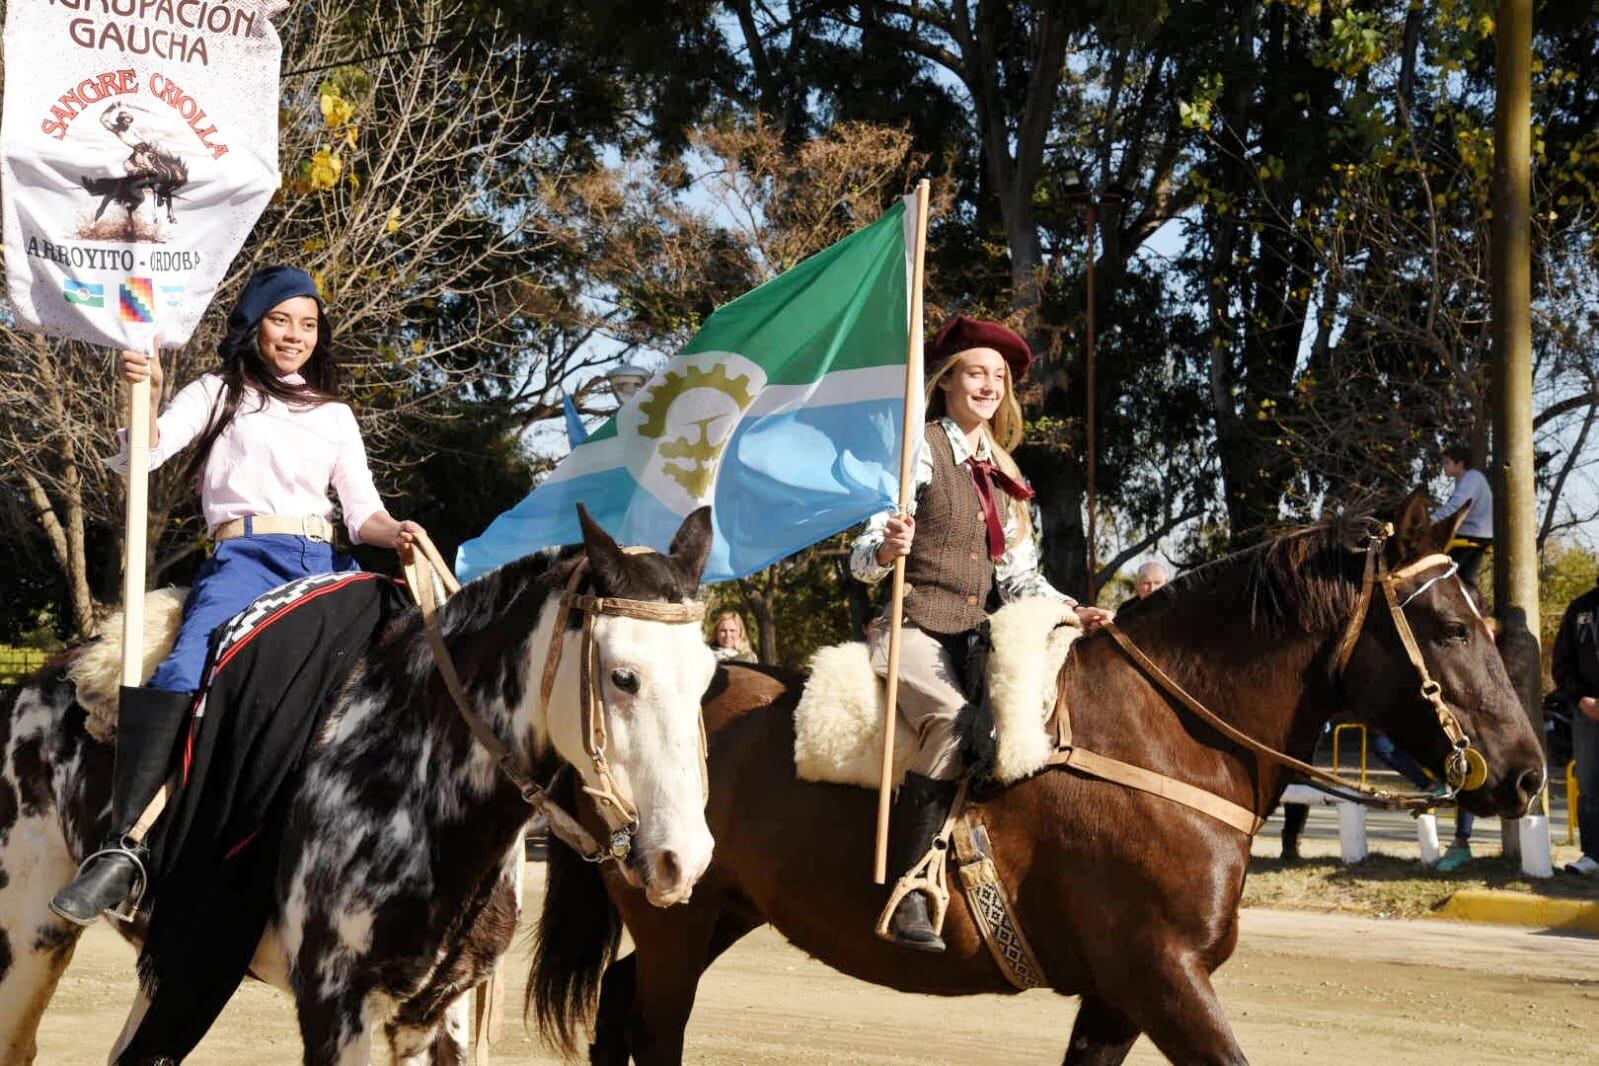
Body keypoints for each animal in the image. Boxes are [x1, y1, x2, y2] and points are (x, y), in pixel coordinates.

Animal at [0, 505, 713, 1061]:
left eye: (708, 674)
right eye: (623, 676)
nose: (685, 860)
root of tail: (44, 680)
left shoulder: (438, 1012)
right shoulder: (337, 1008)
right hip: (29, 932)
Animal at [530, 495, 1541, 1066]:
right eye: (1451, 628)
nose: (1528, 776)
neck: (1162, 738)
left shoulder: (1118, 997)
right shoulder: (1160, 977)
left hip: (715, 912)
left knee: (617, 1013)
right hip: (674, 917)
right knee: (650, 1028)